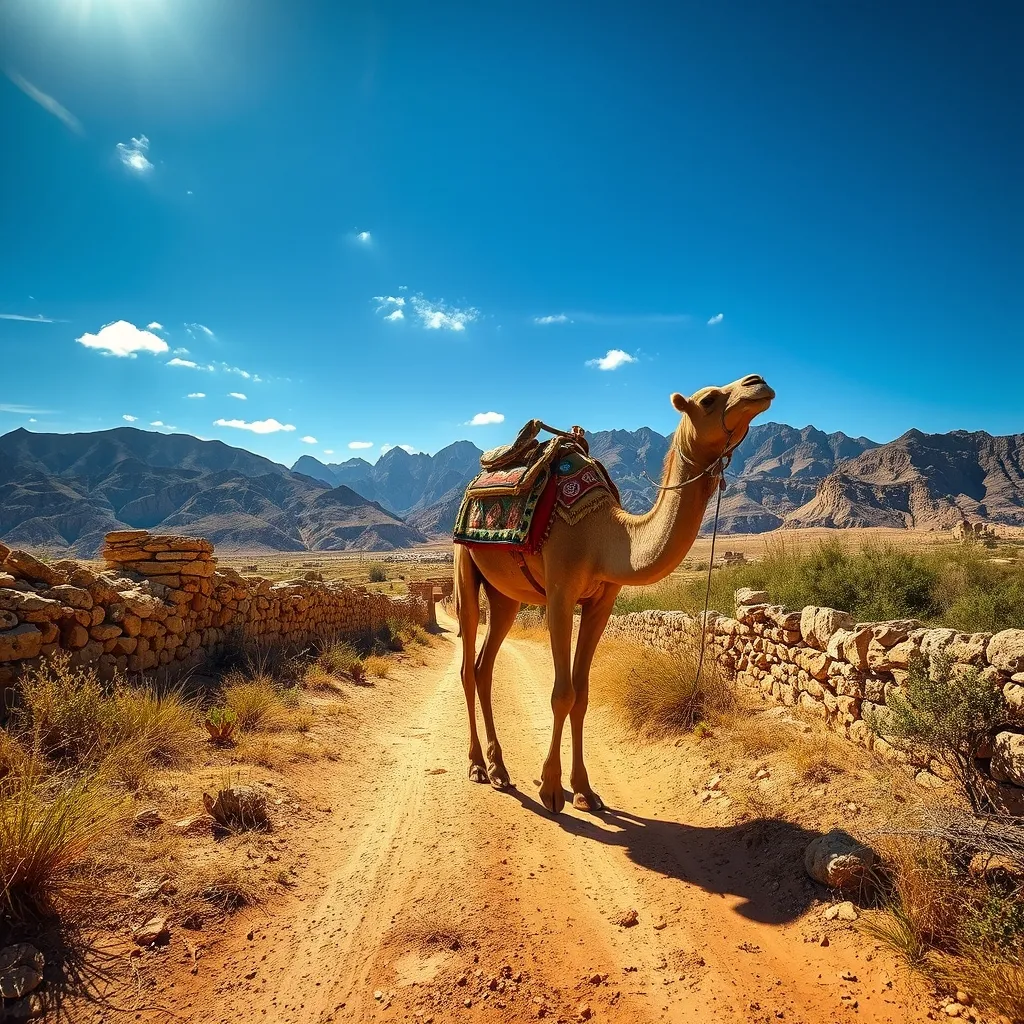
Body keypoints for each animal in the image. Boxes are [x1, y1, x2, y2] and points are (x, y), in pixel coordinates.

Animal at [454, 373, 775, 814]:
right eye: (709, 399)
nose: (758, 384)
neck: (606, 536)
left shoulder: (601, 602)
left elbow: (583, 695)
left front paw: (584, 791)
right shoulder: (560, 594)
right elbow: (562, 693)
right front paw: (551, 789)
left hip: (506, 596)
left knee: (485, 667)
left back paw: (500, 768)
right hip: (464, 568)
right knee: (468, 666)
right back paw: (477, 767)